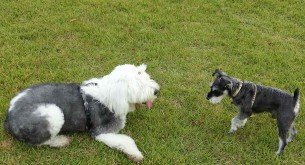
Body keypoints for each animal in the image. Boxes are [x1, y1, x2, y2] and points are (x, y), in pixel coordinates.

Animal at [4, 63, 159, 162]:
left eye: (147, 77)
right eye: (138, 85)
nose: (157, 91)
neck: (112, 95)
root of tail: (8, 117)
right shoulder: (100, 132)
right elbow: (126, 140)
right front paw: (135, 155)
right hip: (53, 113)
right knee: (39, 142)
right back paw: (61, 140)